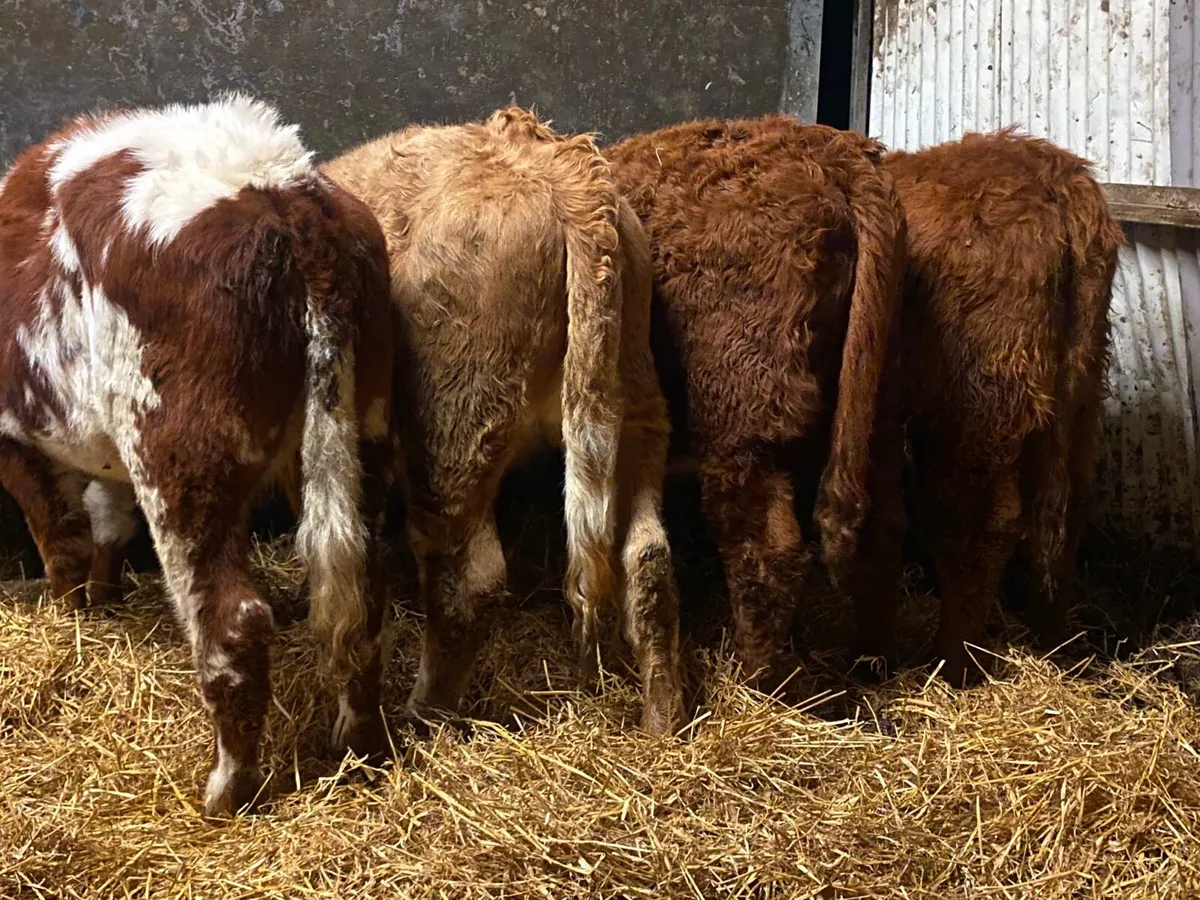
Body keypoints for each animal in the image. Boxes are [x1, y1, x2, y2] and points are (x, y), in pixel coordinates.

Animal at [0, 94, 398, 817]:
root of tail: (281, 192)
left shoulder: (16, 437)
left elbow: (59, 538)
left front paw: (73, 617)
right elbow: (107, 519)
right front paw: (103, 597)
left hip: (179, 455)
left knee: (233, 621)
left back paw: (227, 790)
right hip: (362, 428)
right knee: (362, 589)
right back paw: (360, 750)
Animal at [322, 107, 685, 734]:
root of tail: (557, 164)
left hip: (454, 422)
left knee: (467, 582)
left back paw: (422, 720)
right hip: (637, 407)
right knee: (647, 556)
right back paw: (663, 721)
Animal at [605, 116, 909, 686]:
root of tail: (831, 150)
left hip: (743, 414)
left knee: (765, 545)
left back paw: (759, 675)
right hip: (874, 410)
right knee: (880, 527)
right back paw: (870, 662)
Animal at [884, 128, 1123, 685]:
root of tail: (1057, 176)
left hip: (975, 411)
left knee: (979, 524)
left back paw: (952, 664)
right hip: (1075, 398)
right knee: (1066, 511)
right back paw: (1052, 642)